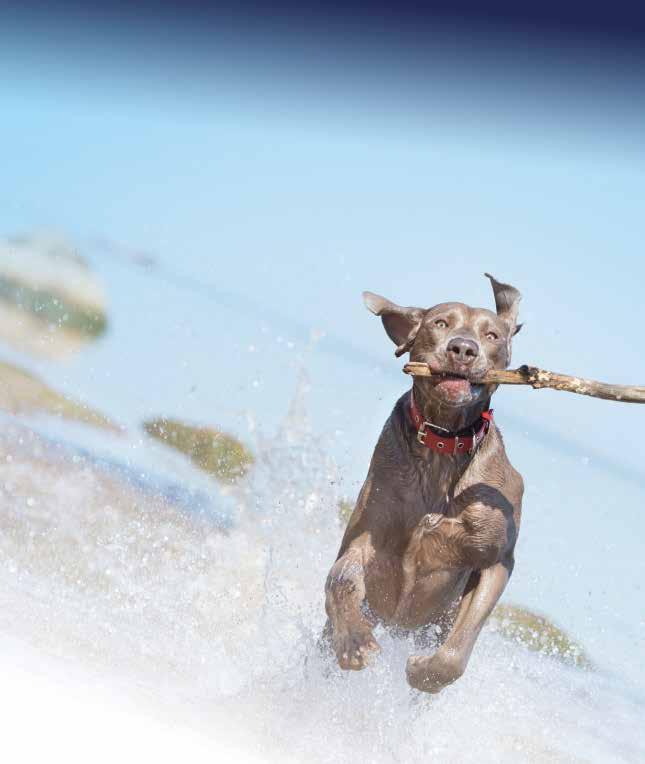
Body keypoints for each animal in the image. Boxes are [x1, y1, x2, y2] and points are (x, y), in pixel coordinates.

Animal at [322, 274, 524, 692]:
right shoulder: (367, 535)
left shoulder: (497, 559)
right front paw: (355, 641)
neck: (443, 446)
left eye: (492, 335)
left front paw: (426, 673)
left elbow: (456, 650)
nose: (463, 349)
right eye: (440, 323)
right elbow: (341, 578)